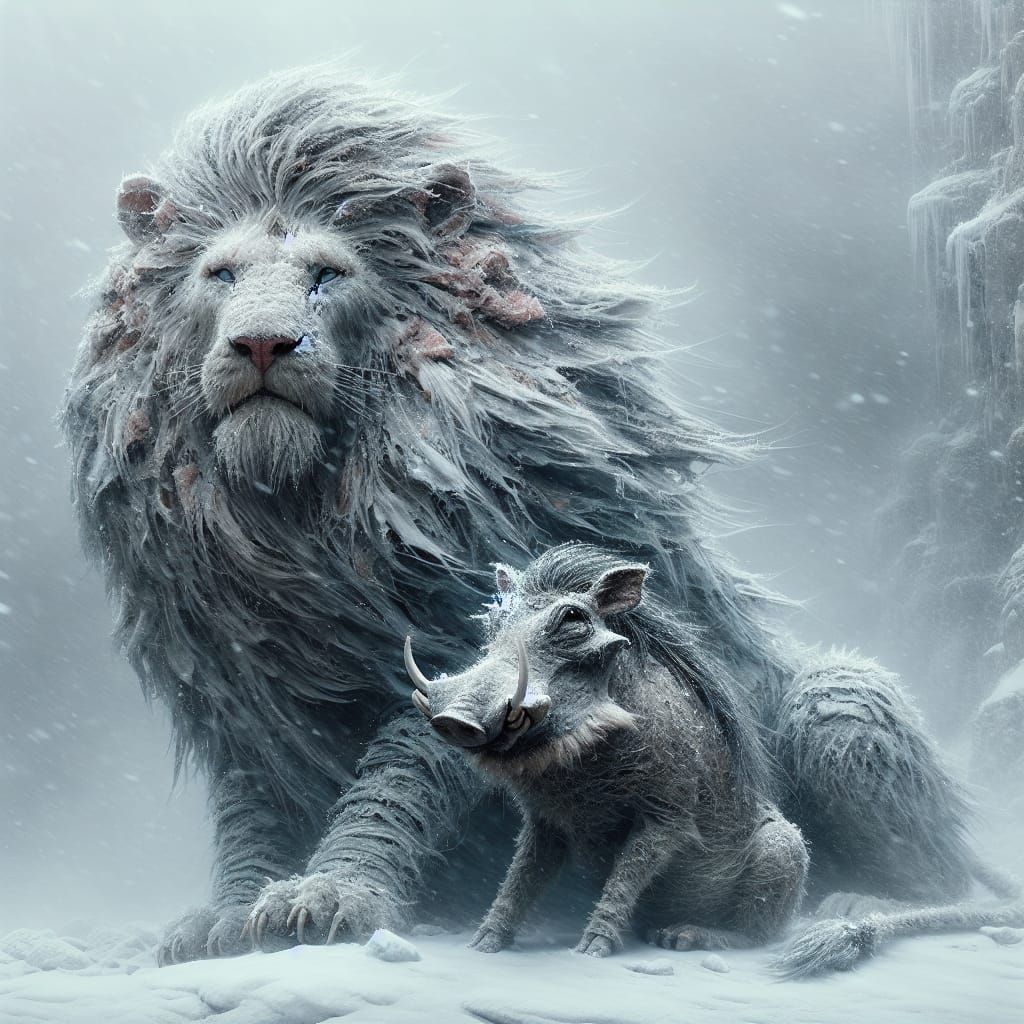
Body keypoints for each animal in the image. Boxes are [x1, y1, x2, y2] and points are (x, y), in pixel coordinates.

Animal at [62, 67, 992, 967]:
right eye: (218, 274)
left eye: (329, 274)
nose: (261, 343)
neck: (301, 517)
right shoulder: (236, 679)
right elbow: (251, 803)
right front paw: (222, 918)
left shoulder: (463, 645)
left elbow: (398, 777)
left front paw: (328, 897)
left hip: (841, 701)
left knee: (945, 872)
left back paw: (855, 905)